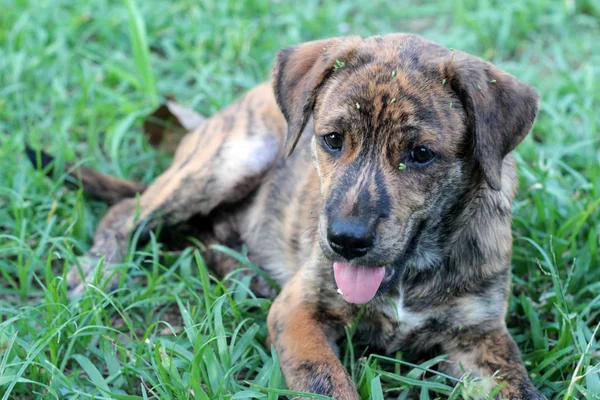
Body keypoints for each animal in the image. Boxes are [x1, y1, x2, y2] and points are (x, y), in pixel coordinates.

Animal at [31, 32, 544, 398]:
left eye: (421, 154)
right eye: (332, 139)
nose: (345, 241)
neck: (408, 271)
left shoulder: (479, 337)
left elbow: (519, 388)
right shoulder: (299, 309)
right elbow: (326, 383)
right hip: (228, 163)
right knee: (127, 212)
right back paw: (96, 272)